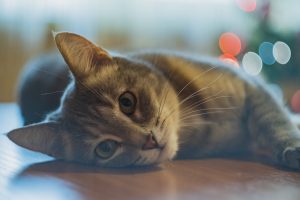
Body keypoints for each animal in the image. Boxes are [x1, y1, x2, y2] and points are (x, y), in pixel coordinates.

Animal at [5, 31, 300, 169]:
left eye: (126, 102)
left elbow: (274, 122)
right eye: (105, 148)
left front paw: (291, 145)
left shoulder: (253, 88)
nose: (150, 141)